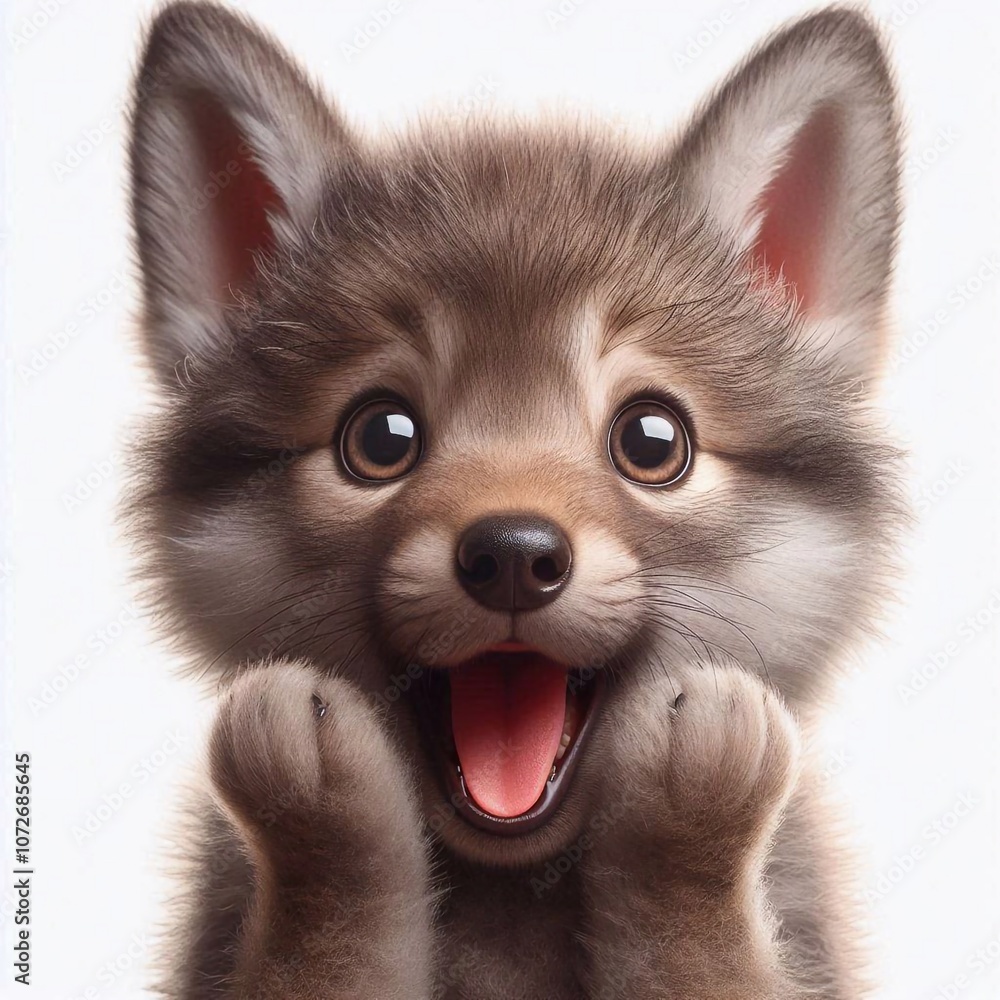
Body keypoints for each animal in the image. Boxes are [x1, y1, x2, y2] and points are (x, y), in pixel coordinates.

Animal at [126, 3, 904, 997]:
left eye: (654, 443)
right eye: (381, 439)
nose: (512, 554)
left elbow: (701, 951)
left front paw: (692, 812)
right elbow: (329, 936)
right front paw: (318, 808)